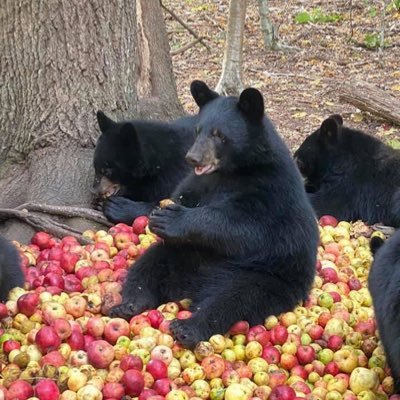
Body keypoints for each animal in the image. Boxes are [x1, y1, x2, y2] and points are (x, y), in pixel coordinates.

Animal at [109, 80, 318, 346]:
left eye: (219, 134)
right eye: (198, 130)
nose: (193, 157)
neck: (231, 171)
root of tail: (192, 287)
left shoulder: (271, 189)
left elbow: (247, 227)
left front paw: (172, 218)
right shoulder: (200, 182)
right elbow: (182, 194)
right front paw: (158, 214)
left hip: (264, 276)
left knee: (234, 299)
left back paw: (189, 327)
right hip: (182, 256)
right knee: (149, 264)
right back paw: (130, 305)